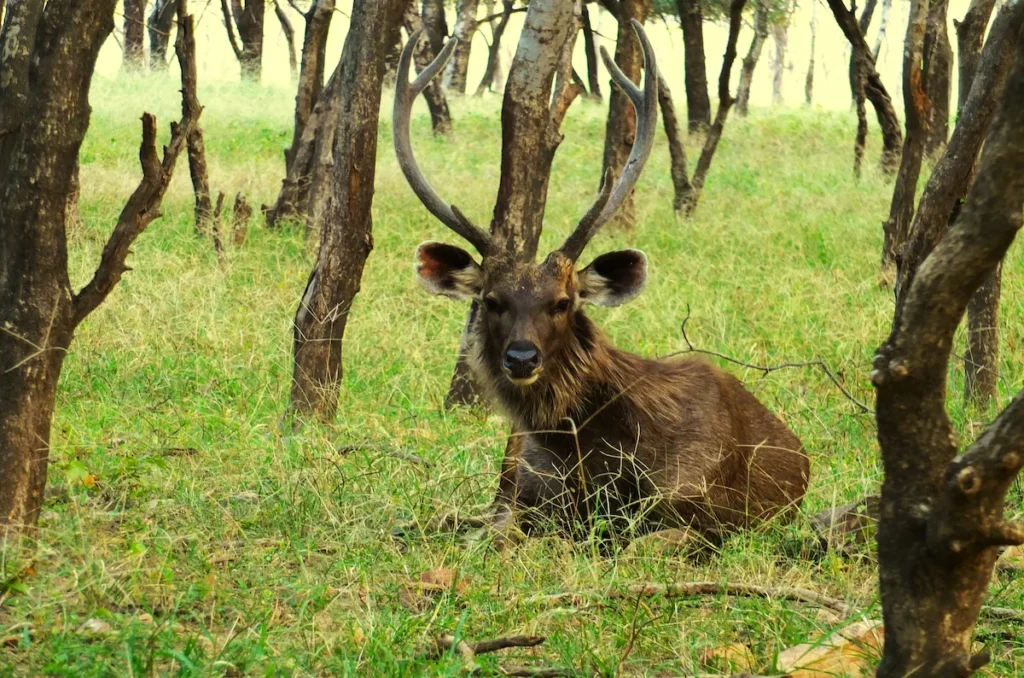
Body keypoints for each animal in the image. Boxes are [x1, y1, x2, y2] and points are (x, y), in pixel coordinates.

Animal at [394, 22, 809, 549]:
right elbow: (497, 539)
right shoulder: (525, 499)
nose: (522, 358)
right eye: (491, 301)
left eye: (563, 302)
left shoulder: (706, 515)